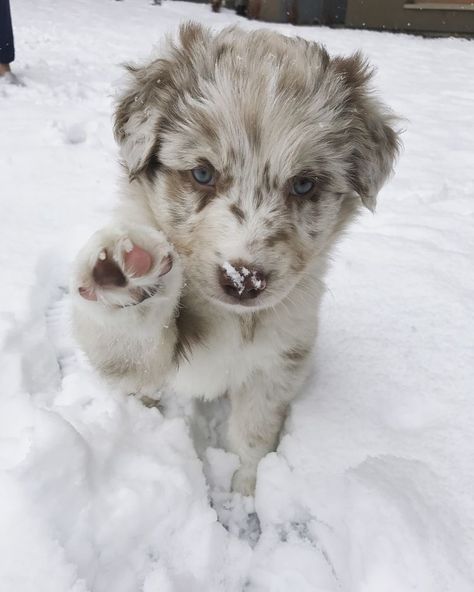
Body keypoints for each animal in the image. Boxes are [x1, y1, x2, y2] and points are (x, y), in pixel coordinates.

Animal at [72, 24, 400, 494]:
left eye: (304, 184)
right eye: (202, 174)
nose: (244, 280)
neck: (232, 319)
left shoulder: (279, 359)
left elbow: (253, 435)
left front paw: (246, 491)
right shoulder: (149, 362)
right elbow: (131, 349)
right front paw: (126, 274)